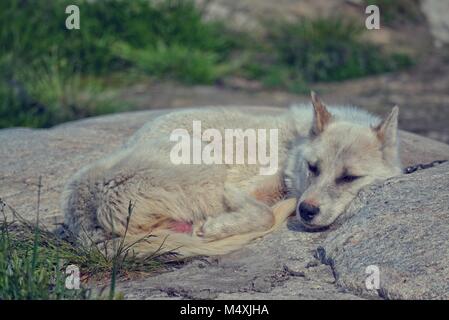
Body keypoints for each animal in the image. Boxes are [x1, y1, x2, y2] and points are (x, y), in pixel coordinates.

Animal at [61, 92, 400, 258]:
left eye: (348, 178)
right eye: (313, 168)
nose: (306, 211)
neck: (292, 147)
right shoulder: (245, 189)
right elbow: (262, 210)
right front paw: (217, 225)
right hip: (207, 165)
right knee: (260, 213)